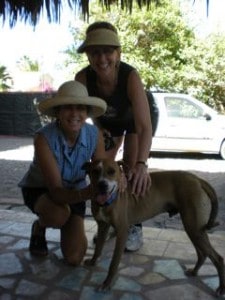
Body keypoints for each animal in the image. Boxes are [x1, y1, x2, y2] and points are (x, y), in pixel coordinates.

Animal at [83, 159, 225, 296]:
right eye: (95, 171)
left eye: (112, 171)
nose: (102, 185)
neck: (109, 201)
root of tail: (197, 179)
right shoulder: (102, 227)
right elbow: (98, 248)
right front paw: (93, 262)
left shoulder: (122, 232)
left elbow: (113, 263)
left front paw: (106, 284)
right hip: (193, 229)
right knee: (202, 253)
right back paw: (194, 271)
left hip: (194, 228)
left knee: (217, 258)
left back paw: (221, 288)